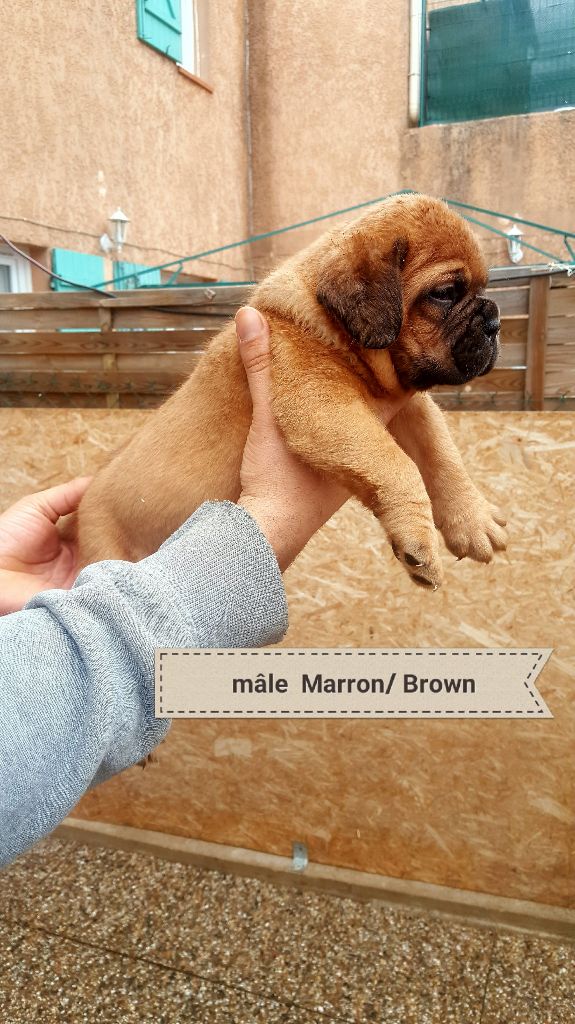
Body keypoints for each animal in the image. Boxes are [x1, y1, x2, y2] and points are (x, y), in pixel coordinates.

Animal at [69, 193, 507, 590]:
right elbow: (397, 466)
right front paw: (419, 539)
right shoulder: (324, 408)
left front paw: (473, 520)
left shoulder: (410, 408)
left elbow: (442, 457)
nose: (495, 322)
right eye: (444, 293)